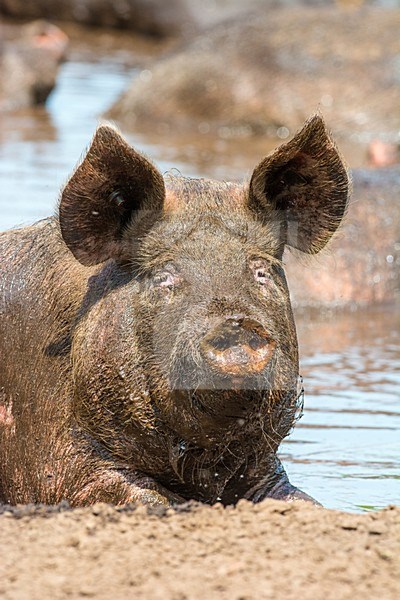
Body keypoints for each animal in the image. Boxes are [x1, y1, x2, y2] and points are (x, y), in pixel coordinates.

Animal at [0, 113, 350, 506]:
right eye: (164, 277)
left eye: (260, 271)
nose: (235, 324)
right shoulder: (60, 461)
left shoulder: (264, 471)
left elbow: (302, 500)